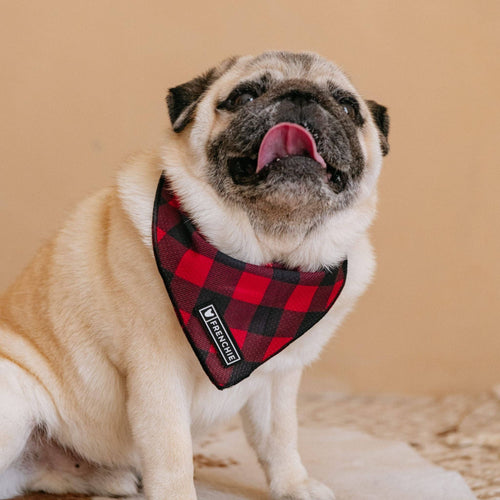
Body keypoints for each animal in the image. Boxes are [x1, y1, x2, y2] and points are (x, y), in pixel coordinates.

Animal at [0, 51, 390, 500]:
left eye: (347, 107)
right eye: (243, 97)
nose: (300, 96)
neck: (266, 259)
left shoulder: (277, 378)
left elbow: (279, 436)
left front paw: (293, 484)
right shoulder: (159, 373)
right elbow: (172, 451)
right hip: (12, 404)